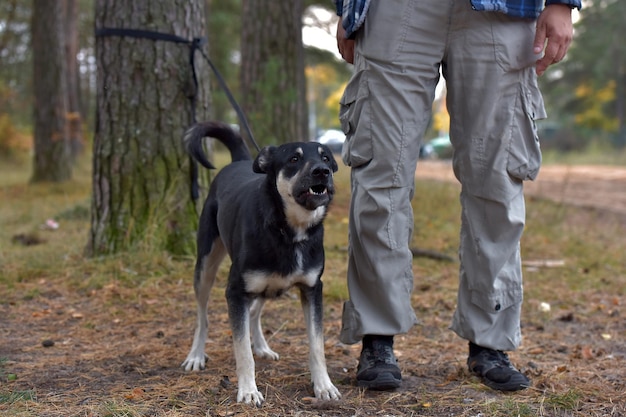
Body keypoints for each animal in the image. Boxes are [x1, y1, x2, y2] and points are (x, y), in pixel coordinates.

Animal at [180, 122, 342, 404]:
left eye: (326, 159)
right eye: (294, 159)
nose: (321, 172)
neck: (289, 232)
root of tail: (239, 161)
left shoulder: (313, 289)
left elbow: (317, 344)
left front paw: (323, 385)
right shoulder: (236, 292)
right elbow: (242, 349)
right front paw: (248, 390)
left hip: (268, 286)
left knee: (255, 311)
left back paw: (262, 347)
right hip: (206, 266)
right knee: (203, 317)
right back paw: (196, 355)